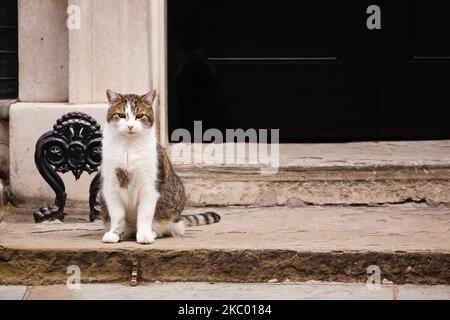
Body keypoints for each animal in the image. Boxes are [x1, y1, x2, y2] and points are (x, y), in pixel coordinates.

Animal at [102, 89, 221, 244]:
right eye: (121, 115)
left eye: (139, 116)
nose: (130, 126)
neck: (128, 146)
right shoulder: (112, 185)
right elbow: (117, 215)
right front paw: (115, 234)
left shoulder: (149, 187)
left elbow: (145, 214)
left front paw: (145, 235)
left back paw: (153, 232)